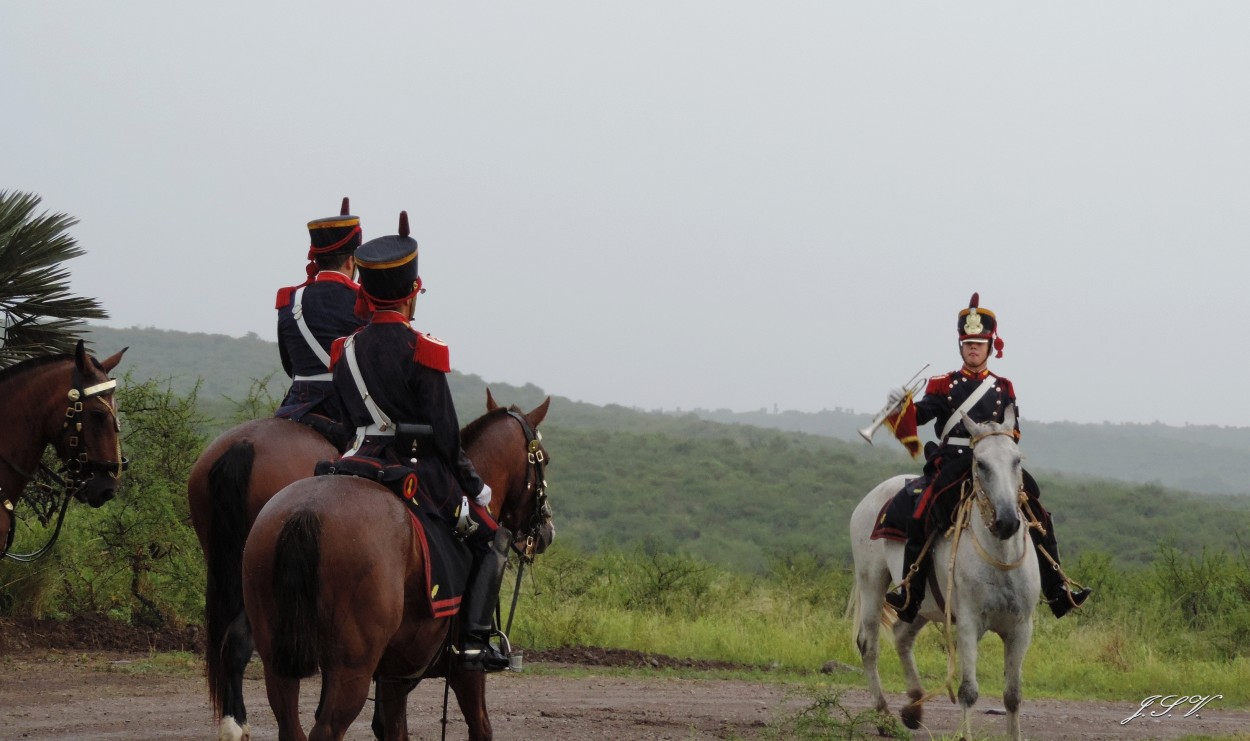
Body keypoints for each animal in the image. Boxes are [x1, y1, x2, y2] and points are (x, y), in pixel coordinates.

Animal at [242, 399, 552, 739]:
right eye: (544, 460)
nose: (546, 531)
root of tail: (307, 509)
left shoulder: (395, 676)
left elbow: (392, 728)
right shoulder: (465, 674)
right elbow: (480, 727)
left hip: (277, 660)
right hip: (351, 669)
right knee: (326, 729)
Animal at [850, 404, 1045, 739]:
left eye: (1016, 460)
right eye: (980, 463)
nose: (1007, 521)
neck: (1000, 558)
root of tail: (869, 498)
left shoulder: (1021, 628)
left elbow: (1013, 695)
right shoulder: (968, 624)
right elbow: (968, 691)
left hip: (920, 605)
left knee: (901, 635)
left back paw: (914, 707)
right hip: (872, 583)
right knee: (869, 644)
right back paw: (884, 715)